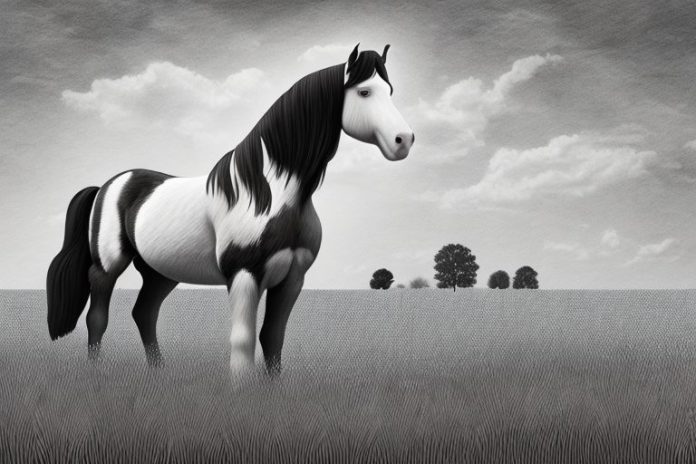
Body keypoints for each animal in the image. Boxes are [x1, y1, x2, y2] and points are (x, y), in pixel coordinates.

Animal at [46, 44, 414, 377]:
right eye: (364, 92)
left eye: (391, 91)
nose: (404, 140)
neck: (270, 194)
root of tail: (109, 185)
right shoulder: (244, 274)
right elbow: (243, 341)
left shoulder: (292, 278)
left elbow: (272, 339)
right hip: (108, 265)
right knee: (97, 317)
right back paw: (96, 372)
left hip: (160, 272)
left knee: (144, 313)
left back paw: (158, 372)